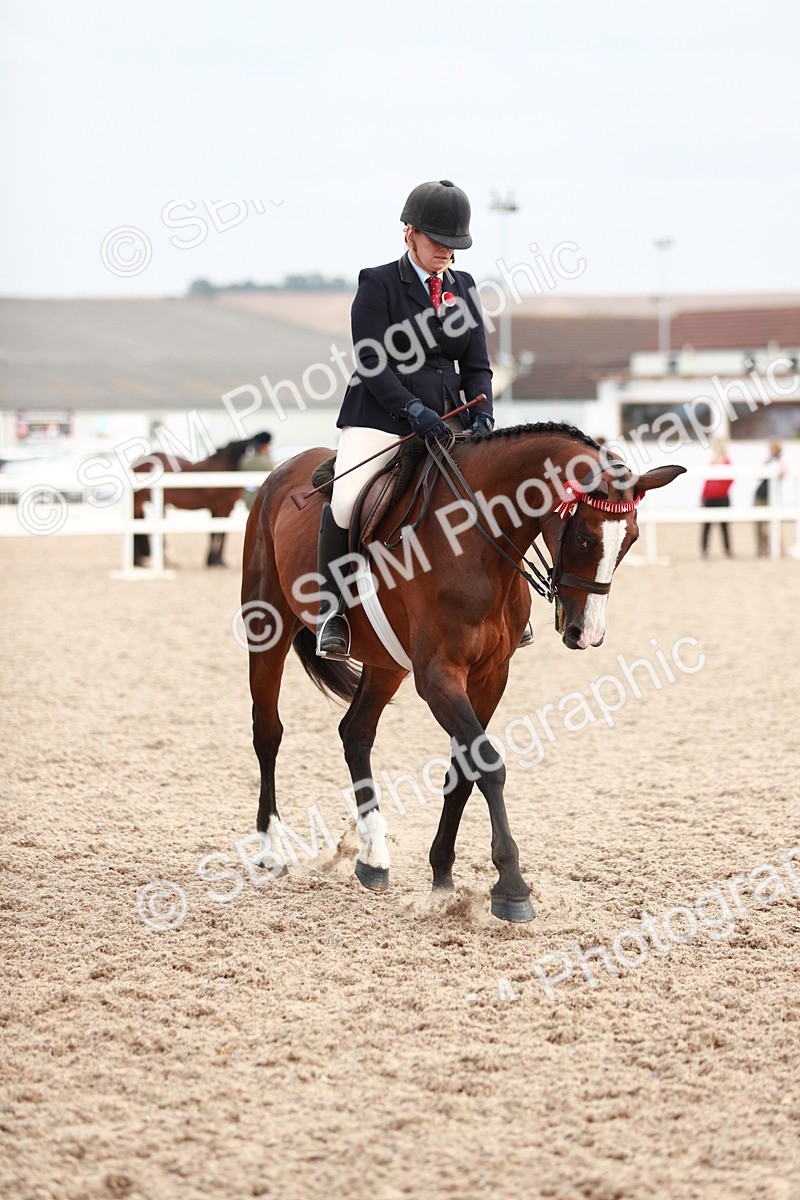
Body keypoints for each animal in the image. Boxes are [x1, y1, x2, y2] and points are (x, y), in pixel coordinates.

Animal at [133, 434, 271, 567]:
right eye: (254, 451)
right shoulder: (218, 507)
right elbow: (216, 533)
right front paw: (213, 560)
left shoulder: (227, 508)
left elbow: (221, 534)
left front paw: (218, 560)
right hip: (138, 502)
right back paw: (138, 560)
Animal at [241, 422, 684, 921]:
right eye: (586, 537)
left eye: (630, 540)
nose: (585, 633)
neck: (474, 538)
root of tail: (281, 472)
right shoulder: (438, 675)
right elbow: (488, 764)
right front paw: (511, 888)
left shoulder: (490, 676)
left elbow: (463, 770)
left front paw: (442, 877)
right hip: (266, 628)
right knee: (268, 733)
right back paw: (271, 849)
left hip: (386, 662)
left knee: (355, 732)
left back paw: (373, 857)